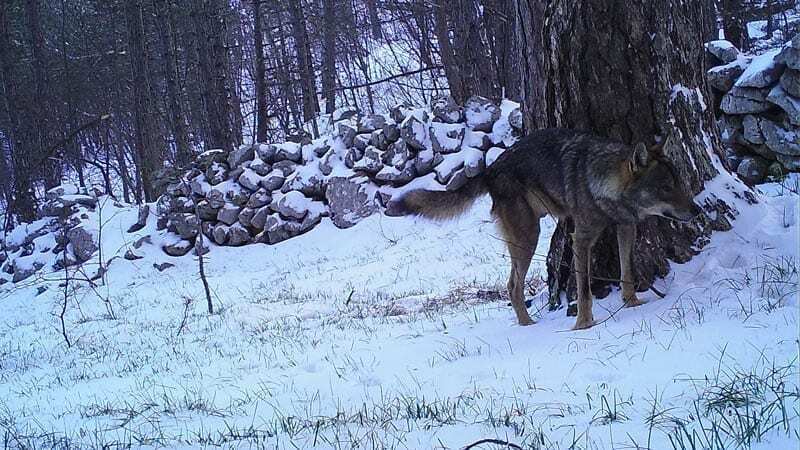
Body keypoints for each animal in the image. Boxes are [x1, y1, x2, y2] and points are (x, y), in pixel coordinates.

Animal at [394, 128, 700, 328]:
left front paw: (633, 303)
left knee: (512, 285)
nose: (696, 210)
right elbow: (584, 289)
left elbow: (627, 273)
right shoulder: (581, 239)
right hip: (529, 237)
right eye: (665, 188)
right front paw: (584, 324)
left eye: (679, 182)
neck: (600, 184)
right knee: (513, 285)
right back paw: (528, 325)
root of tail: (490, 168)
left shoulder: (626, 228)